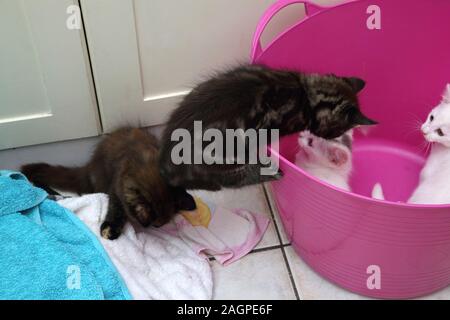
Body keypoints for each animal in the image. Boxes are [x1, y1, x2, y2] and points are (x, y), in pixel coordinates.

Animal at [21, 127, 195, 240]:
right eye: (157, 225)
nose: (155, 227)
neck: (146, 167)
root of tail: (88, 167)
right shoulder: (116, 189)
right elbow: (116, 209)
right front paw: (110, 228)